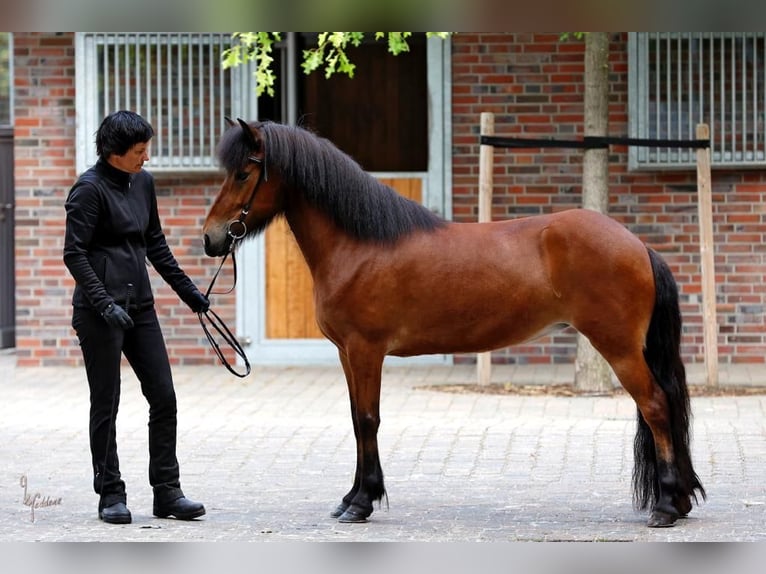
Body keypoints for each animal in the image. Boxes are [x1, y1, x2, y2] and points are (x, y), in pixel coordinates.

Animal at [201, 118, 704, 532]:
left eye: (243, 173)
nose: (210, 238)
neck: (360, 245)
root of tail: (637, 244)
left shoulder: (366, 350)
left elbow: (367, 420)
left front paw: (362, 503)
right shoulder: (347, 352)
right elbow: (356, 420)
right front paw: (351, 497)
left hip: (618, 347)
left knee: (656, 407)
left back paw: (666, 508)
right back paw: (677, 502)